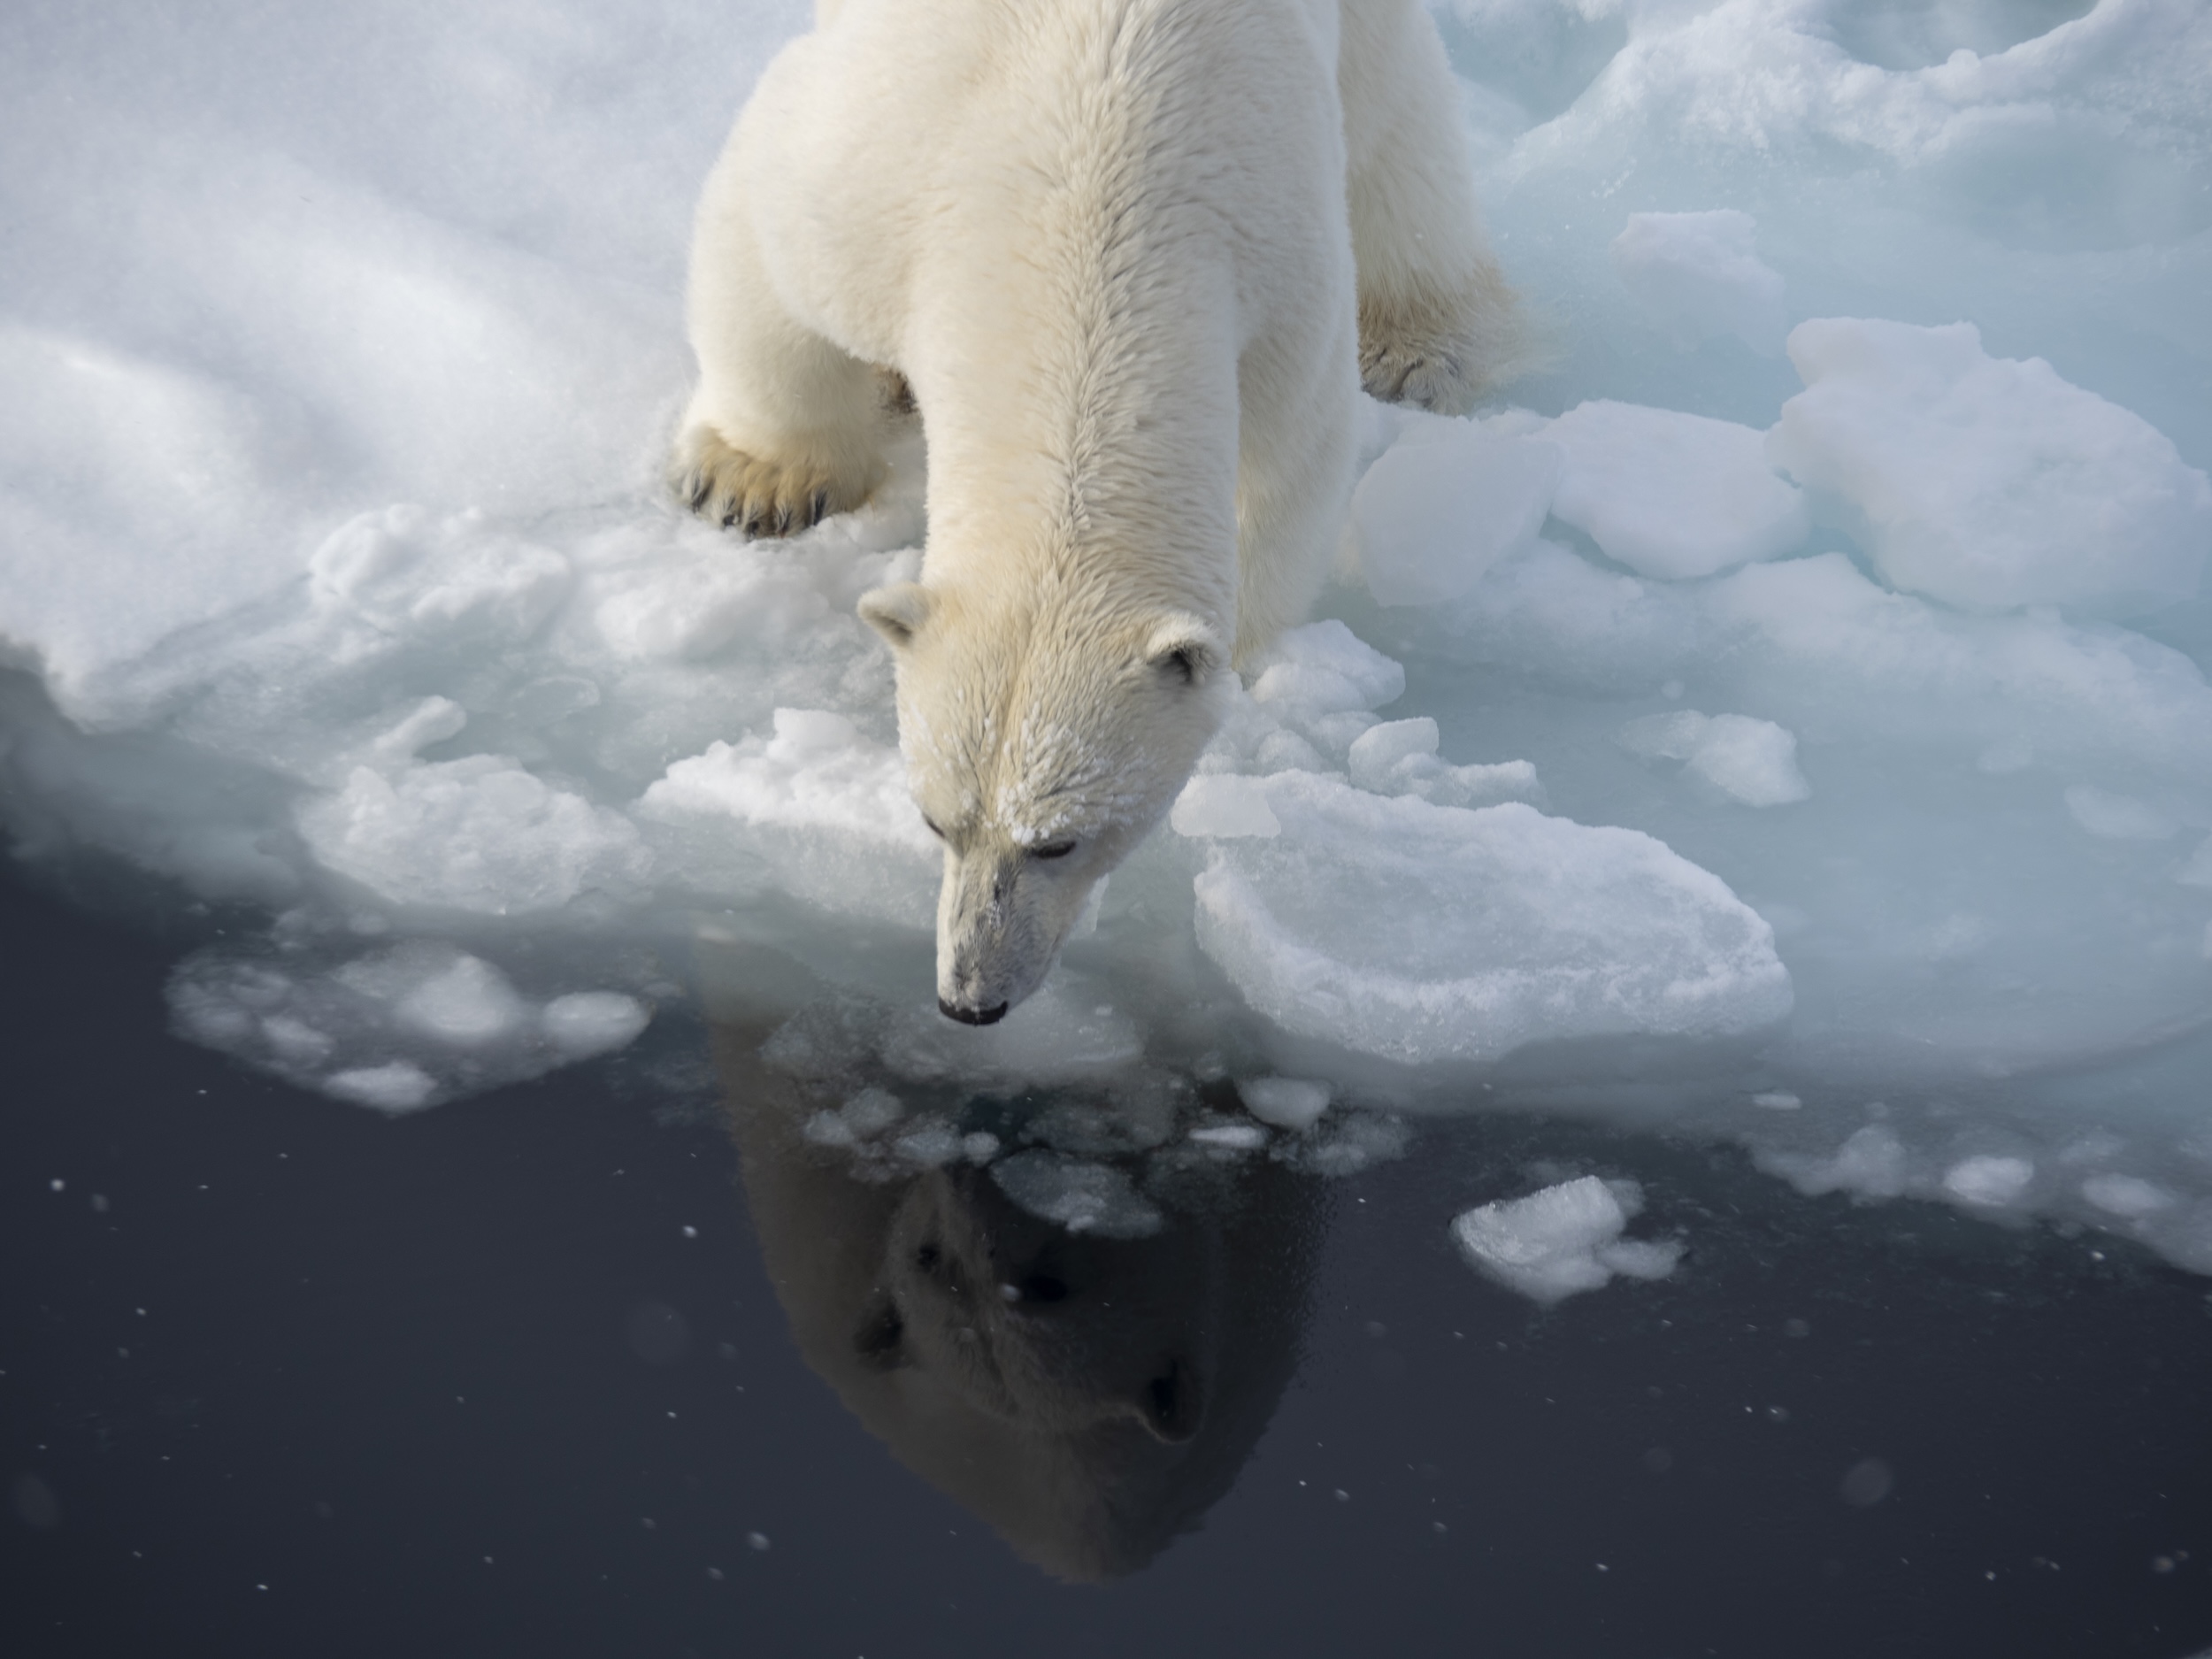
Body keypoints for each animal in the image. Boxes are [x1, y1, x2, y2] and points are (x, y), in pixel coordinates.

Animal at [674, 0, 1519, 1023]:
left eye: (1060, 840)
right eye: (936, 819)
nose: (970, 999)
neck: (1083, 222)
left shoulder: (1273, 285)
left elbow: (1285, 473)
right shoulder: (862, 183)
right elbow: (761, 263)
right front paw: (752, 485)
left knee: (1400, 129)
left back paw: (1418, 349)